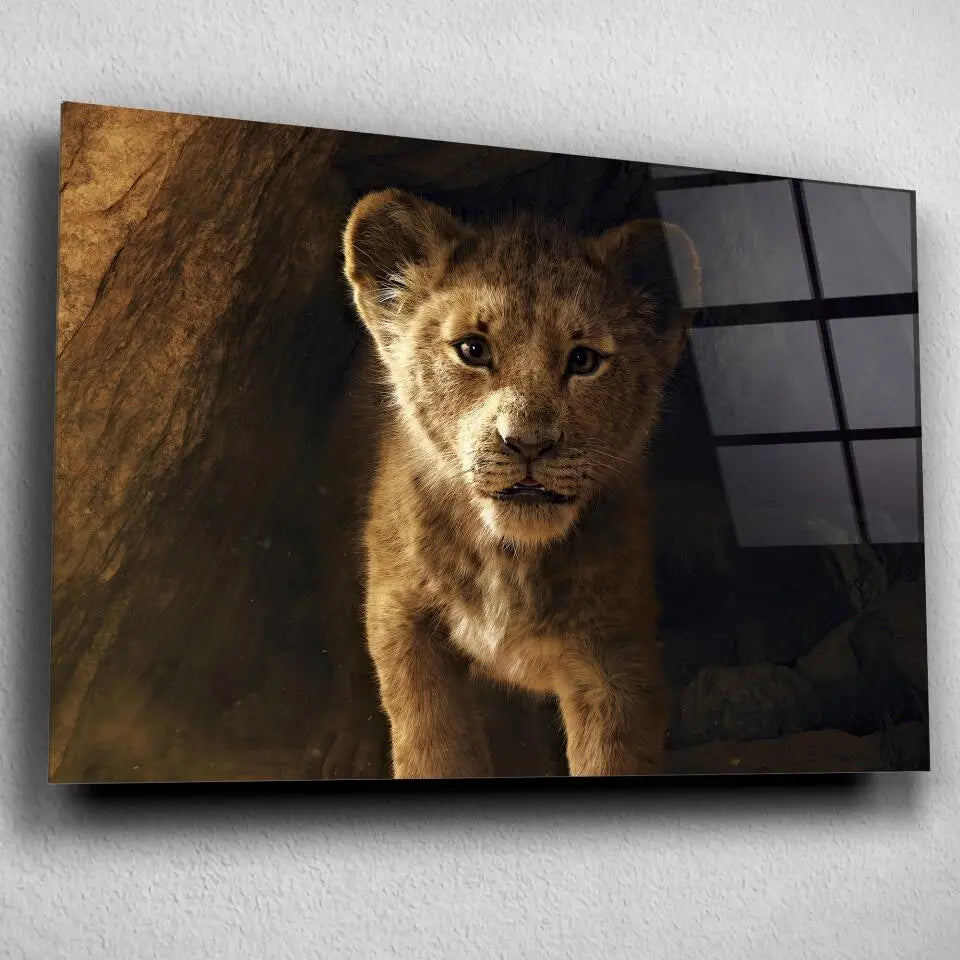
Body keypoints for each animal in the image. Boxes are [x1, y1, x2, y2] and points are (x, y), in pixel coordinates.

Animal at [342, 188, 700, 778]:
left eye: (584, 360)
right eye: (472, 350)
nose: (528, 444)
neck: (509, 559)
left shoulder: (616, 653)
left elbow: (612, 757)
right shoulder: (401, 617)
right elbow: (432, 745)